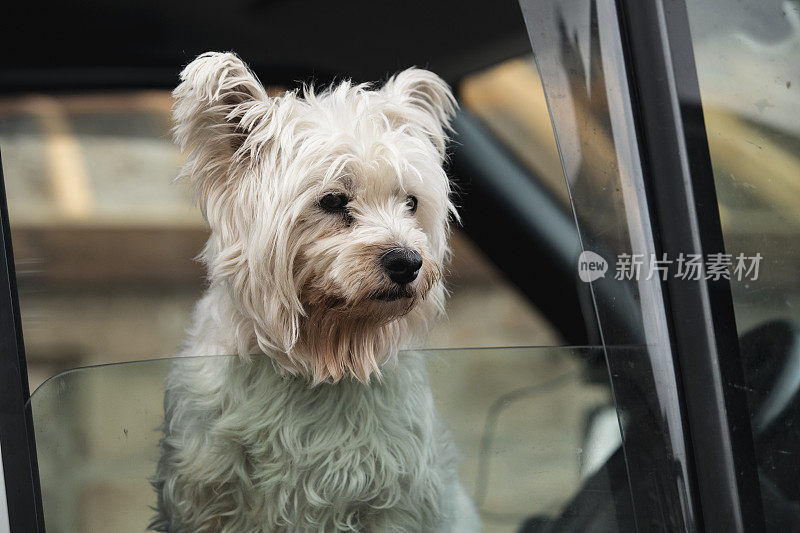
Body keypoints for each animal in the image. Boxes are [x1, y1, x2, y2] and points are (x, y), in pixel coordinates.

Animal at [151, 51, 478, 532]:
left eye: (411, 202)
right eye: (332, 201)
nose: (408, 263)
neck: (322, 357)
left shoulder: (396, 500)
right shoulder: (204, 491)